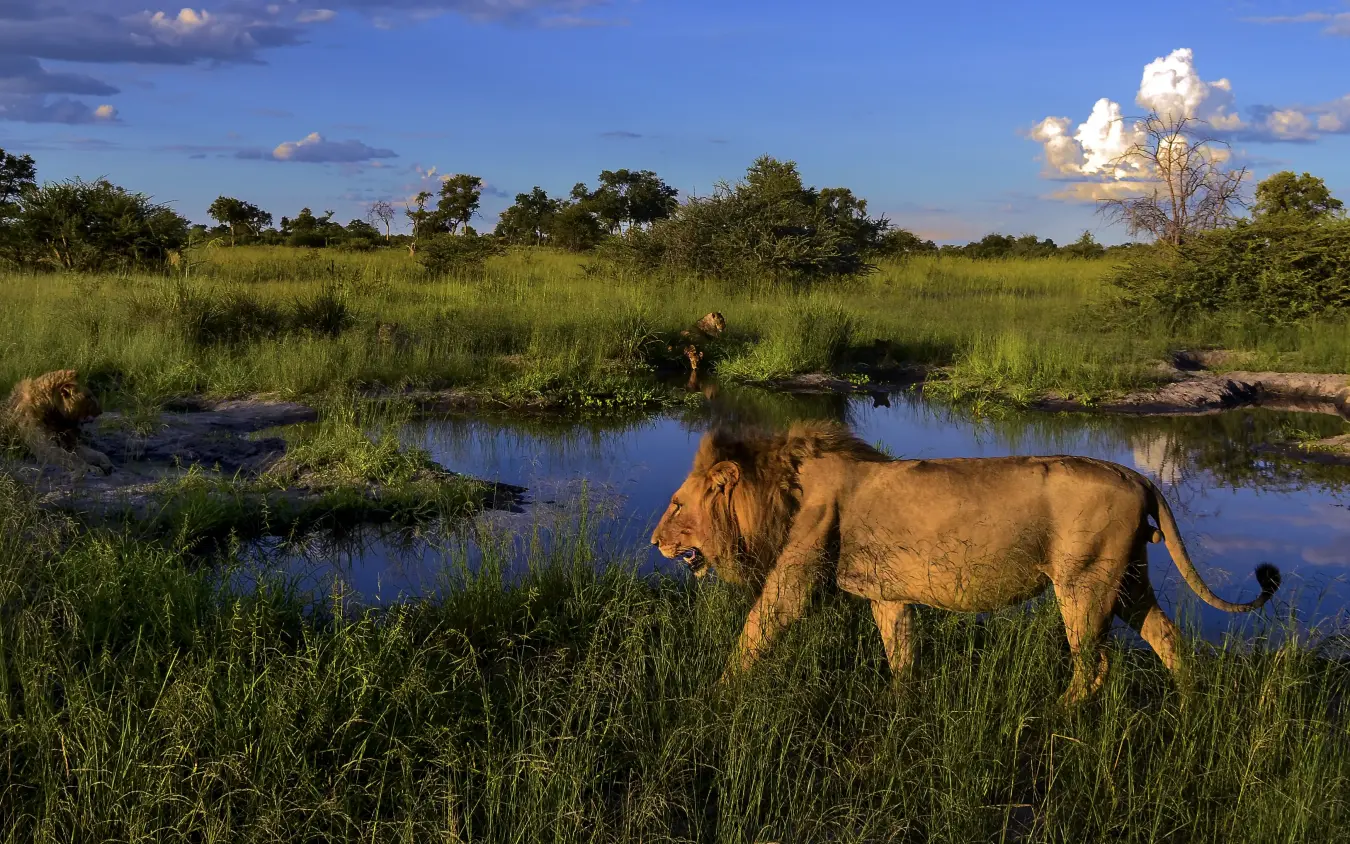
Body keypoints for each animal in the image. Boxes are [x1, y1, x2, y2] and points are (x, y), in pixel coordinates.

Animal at [651, 422, 1280, 705]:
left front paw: (715, 695)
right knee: (1166, 634)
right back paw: (1193, 700)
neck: (779, 487)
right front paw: (902, 707)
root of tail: (1137, 474)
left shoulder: (794, 573)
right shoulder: (888, 594)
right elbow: (901, 653)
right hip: (1126, 581)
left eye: (677, 504)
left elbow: (757, 629)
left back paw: (1058, 717)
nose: (654, 541)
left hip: (1085, 583)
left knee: (1095, 664)